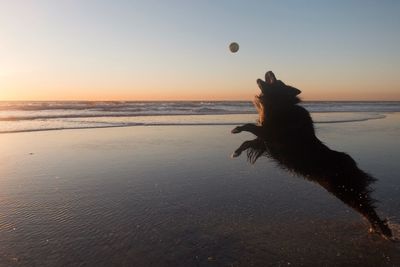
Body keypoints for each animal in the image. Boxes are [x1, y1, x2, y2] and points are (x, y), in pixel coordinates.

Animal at [233, 71, 392, 241]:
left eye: (278, 81)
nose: (270, 71)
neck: (281, 105)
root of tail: (352, 165)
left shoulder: (271, 134)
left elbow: (250, 127)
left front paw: (236, 129)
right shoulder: (265, 141)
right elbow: (248, 141)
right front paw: (237, 151)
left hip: (345, 190)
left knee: (368, 209)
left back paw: (386, 232)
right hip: (344, 191)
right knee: (366, 209)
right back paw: (376, 229)